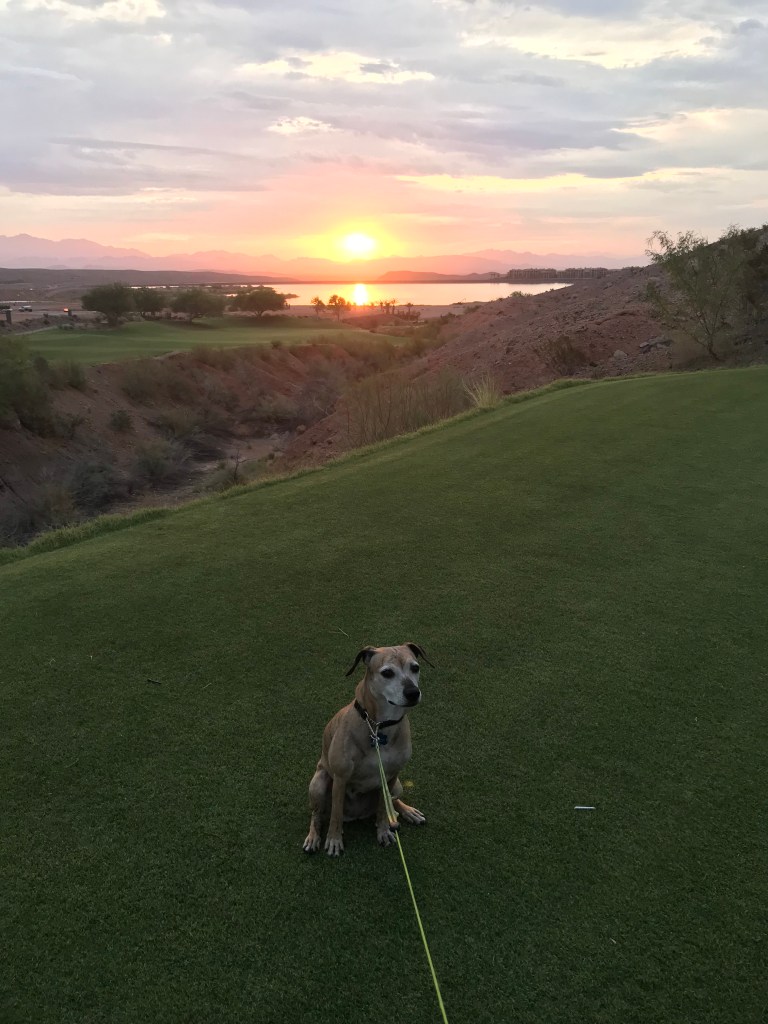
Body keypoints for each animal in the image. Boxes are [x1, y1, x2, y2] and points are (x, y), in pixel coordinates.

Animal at [303, 643, 432, 856]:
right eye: (387, 672)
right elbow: (335, 815)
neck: (380, 727)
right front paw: (334, 840)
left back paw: (406, 812)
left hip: (397, 786)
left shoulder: (391, 775)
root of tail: (356, 815)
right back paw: (314, 837)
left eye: (415, 667)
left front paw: (384, 831)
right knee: (318, 815)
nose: (413, 693)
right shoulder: (340, 778)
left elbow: (382, 809)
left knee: (391, 802)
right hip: (319, 784)